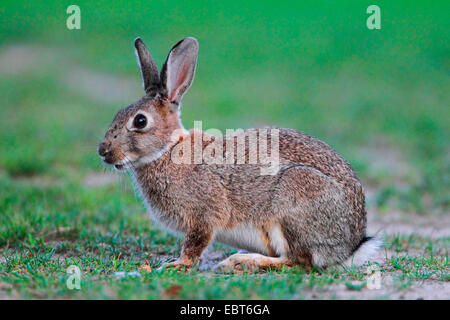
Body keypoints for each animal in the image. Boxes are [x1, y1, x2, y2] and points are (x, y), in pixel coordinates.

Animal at [97, 37, 380, 272]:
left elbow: (195, 244)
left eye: (140, 121)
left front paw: (176, 265)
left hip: (294, 198)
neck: (168, 150)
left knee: (300, 262)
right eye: (118, 113)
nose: (103, 151)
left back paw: (240, 262)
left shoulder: (204, 215)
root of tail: (350, 245)